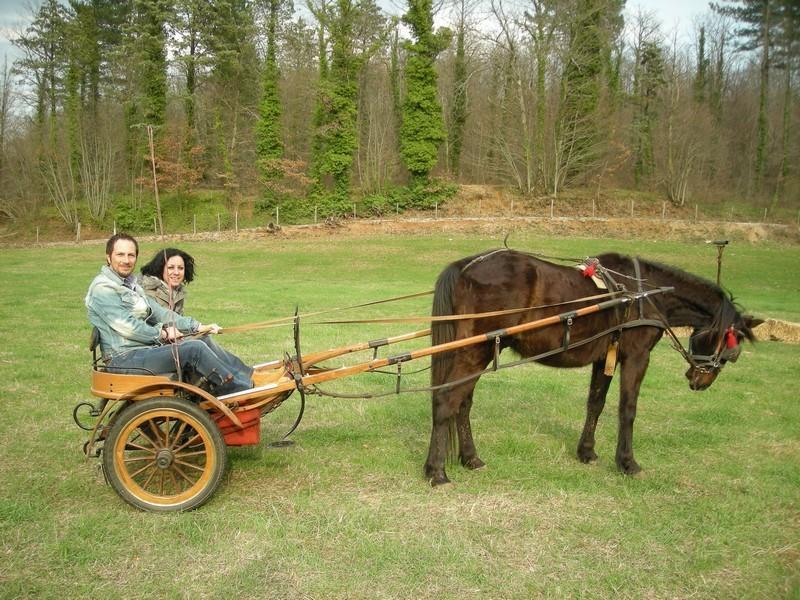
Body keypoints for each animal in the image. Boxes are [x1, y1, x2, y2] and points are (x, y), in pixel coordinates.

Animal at [422, 250, 760, 488]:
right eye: (733, 347)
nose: (700, 381)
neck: (644, 294)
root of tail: (466, 266)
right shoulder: (637, 356)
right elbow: (628, 409)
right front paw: (627, 463)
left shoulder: (605, 356)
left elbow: (596, 403)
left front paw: (586, 452)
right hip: (475, 350)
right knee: (445, 401)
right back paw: (437, 471)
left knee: (462, 403)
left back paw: (470, 458)